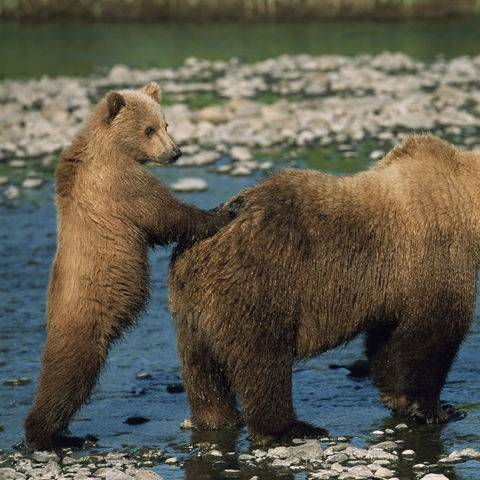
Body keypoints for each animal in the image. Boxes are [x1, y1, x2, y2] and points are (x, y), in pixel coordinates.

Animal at [24, 81, 238, 450]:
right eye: (149, 129)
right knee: (67, 376)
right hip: (86, 319)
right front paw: (223, 212)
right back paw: (49, 435)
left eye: (166, 124)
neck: (111, 146)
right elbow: (164, 213)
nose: (175, 152)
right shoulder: (119, 183)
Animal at [167, 134, 478, 438]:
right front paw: (435, 409)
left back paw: (216, 419)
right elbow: (431, 335)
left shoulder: (394, 286)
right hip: (260, 283)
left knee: (201, 369)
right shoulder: (436, 252)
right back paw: (291, 428)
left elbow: (388, 341)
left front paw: (400, 399)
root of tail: (196, 250)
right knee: (263, 360)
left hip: (191, 308)